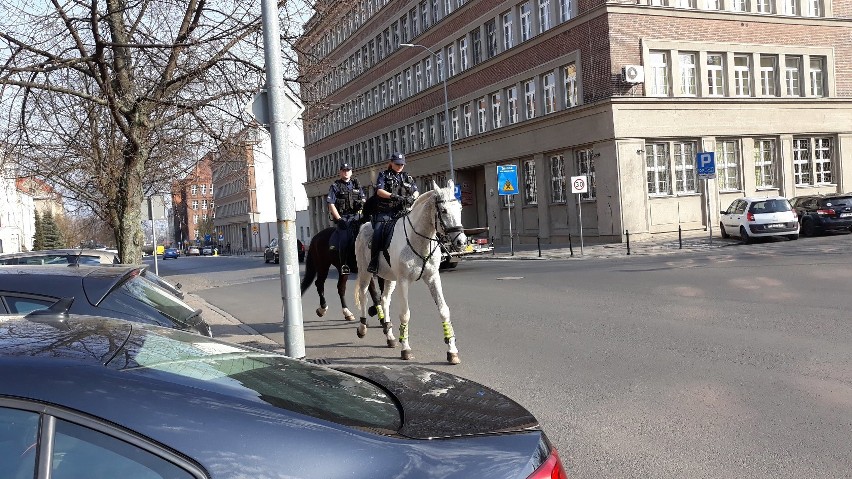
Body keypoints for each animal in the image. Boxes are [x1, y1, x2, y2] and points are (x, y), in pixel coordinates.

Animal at [352, 180, 466, 364]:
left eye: (460, 208)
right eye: (443, 210)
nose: (461, 241)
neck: (418, 239)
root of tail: (364, 225)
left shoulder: (433, 278)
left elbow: (444, 310)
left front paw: (452, 350)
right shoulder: (403, 281)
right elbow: (405, 314)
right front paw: (405, 348)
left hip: (390, 278)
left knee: (384, 300)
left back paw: (390, 336)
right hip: (365, 272)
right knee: (363, 295)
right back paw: (362, 328)